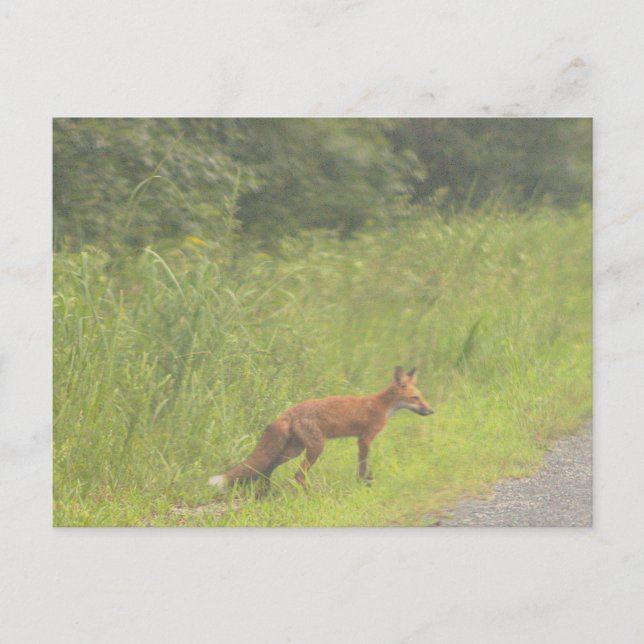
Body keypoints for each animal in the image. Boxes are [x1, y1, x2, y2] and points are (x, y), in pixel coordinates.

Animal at [208, 366, 434, 490]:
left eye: (422, 397)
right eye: (416, 398)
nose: (431, 411)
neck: (382, 405)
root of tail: (288, 411)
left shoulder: (362, 440)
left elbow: (365, 465)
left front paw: (366, 481)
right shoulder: (365, 439)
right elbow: (362, 465)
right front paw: (362, 483)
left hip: (293, 450)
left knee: (267, 469)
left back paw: (266, 493)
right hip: (316, 448)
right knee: (298, 476)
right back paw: (312, 496)